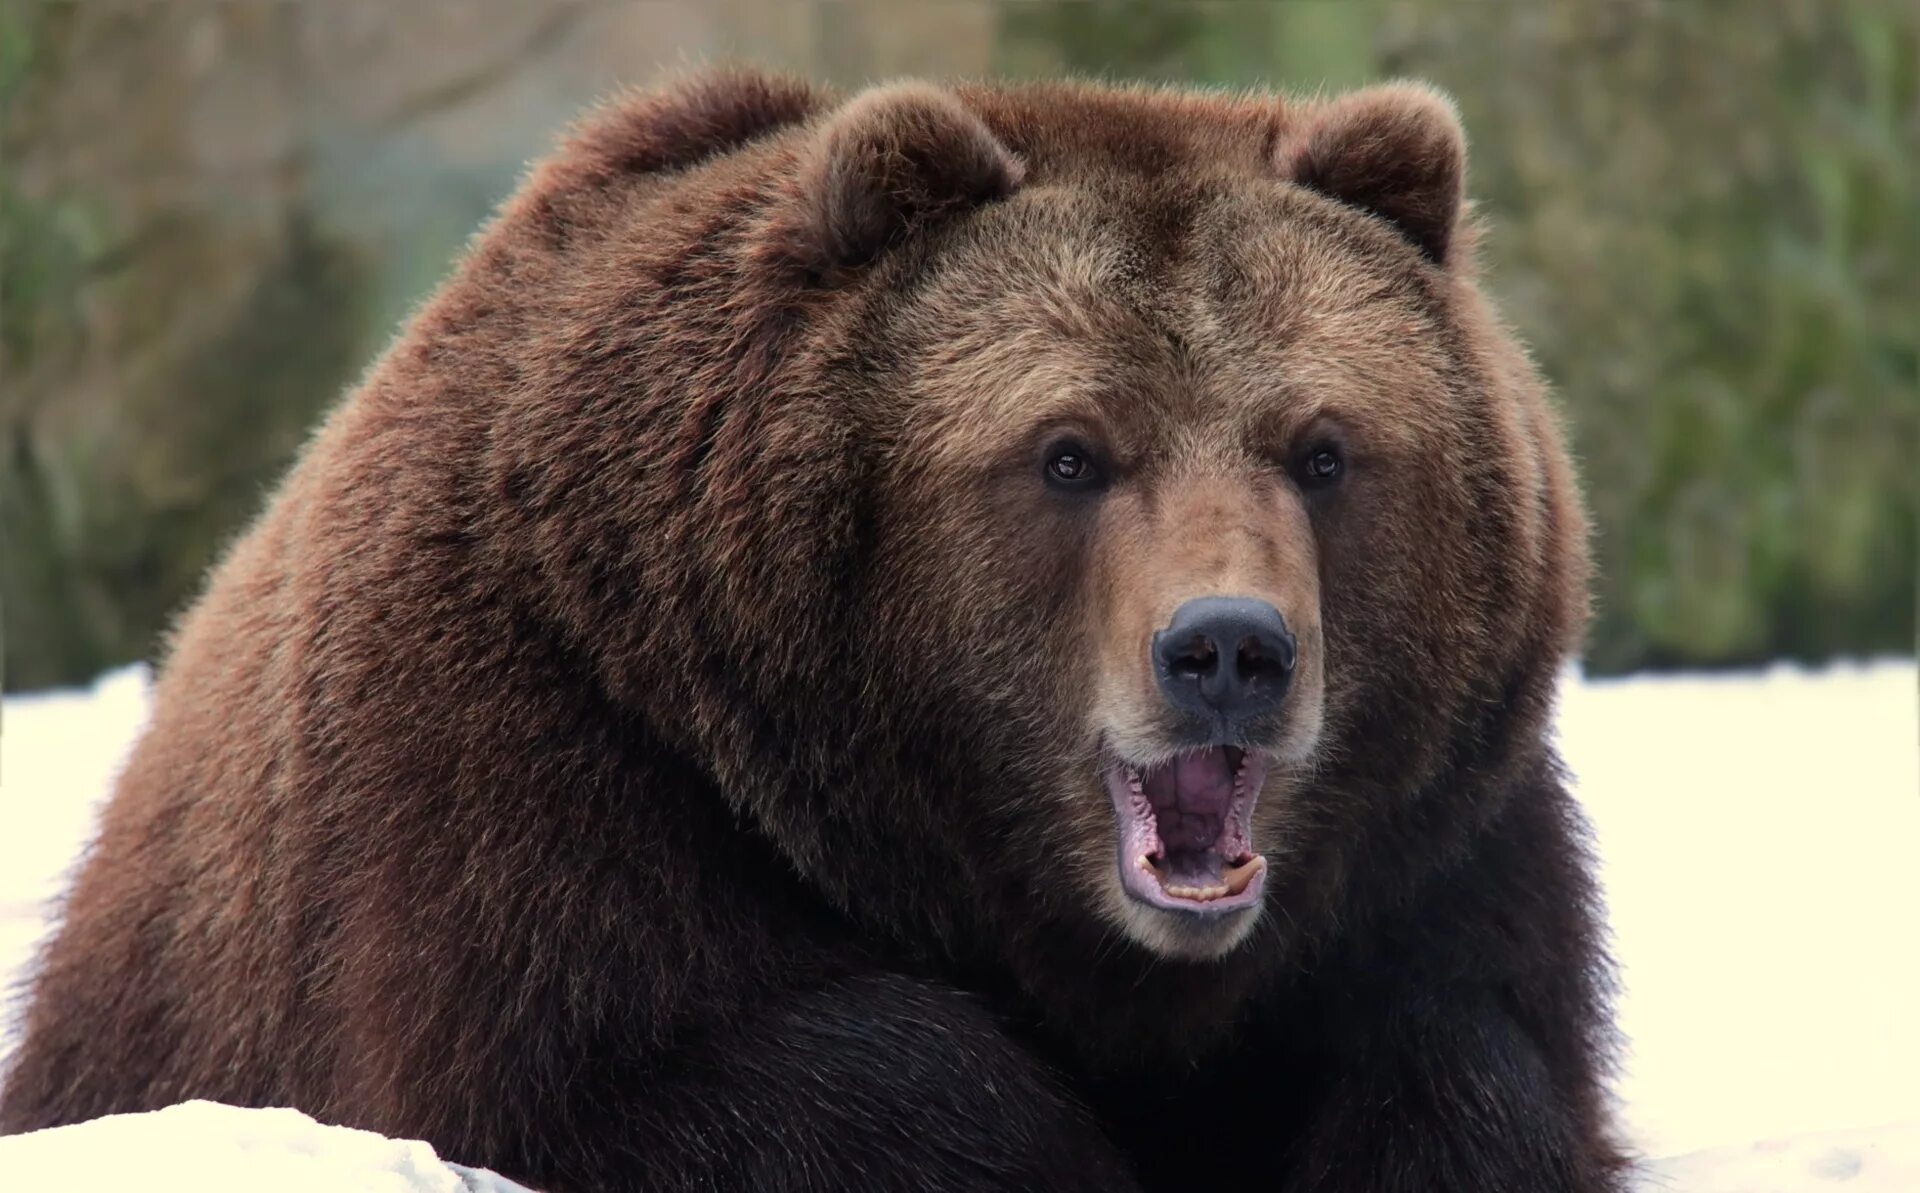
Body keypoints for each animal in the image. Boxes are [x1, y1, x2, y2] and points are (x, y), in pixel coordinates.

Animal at [0, 69, 1620, 1183]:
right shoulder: (545, 766)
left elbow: (1466, 1065)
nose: (1229, 649)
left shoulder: (1433, 855)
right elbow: (727, 1078)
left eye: (1324, 447)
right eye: (1070, 452)